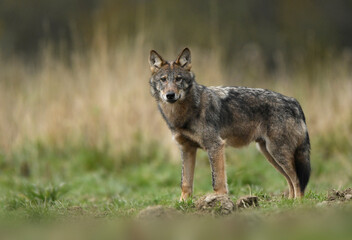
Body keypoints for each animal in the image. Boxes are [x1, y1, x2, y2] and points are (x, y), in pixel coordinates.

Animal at [148, 47, 310, 200]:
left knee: (297, 179)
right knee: (290, 180)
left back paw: (297, 202)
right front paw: (183, 202)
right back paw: (288, 201)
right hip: (270, 154)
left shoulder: (216, 146)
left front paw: (219, 198)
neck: (185, 113)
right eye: (163, 79)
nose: (170, 95)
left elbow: (217, 180)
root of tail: (294, 102)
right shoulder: (187, 149)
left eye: (178, 79)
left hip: (277, 153)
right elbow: (185, 182)